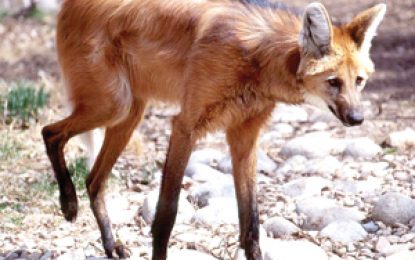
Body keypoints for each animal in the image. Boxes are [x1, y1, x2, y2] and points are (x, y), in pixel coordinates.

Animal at [42, 0, 386, 258]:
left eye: (359, 82)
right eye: (333, 82)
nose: (357, 118)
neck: (259, 61)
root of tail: (70, 4)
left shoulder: (244, 137)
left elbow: (251, 224)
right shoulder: (186, 127)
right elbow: (166, 216)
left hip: (129, 113)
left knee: (93, 179)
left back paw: (111, 245)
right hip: (113, 106)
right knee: (50, 133)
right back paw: (69, 204)